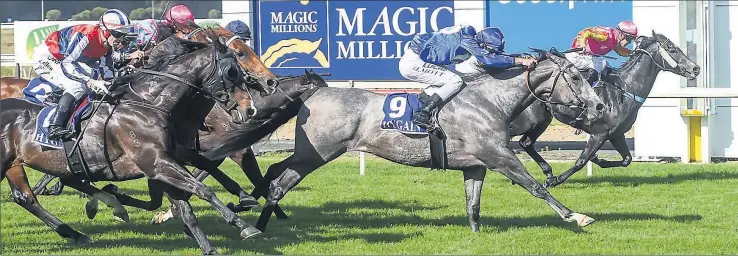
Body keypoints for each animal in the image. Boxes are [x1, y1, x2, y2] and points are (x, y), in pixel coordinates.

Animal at [204, 48, 608, 232]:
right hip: (317, 155)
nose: (599, 105)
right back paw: (258, 224)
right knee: (279, 183)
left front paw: (476, 233)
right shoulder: (498, 155)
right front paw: (577, 215)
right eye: (575, 77)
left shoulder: (476, 165)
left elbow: (473, 204)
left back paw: (252, 211)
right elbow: (535, 186)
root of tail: (314, 92)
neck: (490, 99)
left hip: (310, 153)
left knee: (274, 169)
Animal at [504, 31, 700, 188]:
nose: (695, 68)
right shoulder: (599, 133)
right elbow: (581, 161)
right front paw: (555, 180)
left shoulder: (616, 133)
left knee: (526, 143)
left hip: (542, 121)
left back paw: (545, 170)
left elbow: (626, 160)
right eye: (672, 49)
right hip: (528, 121)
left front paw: (599, 159)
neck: (624, 89)